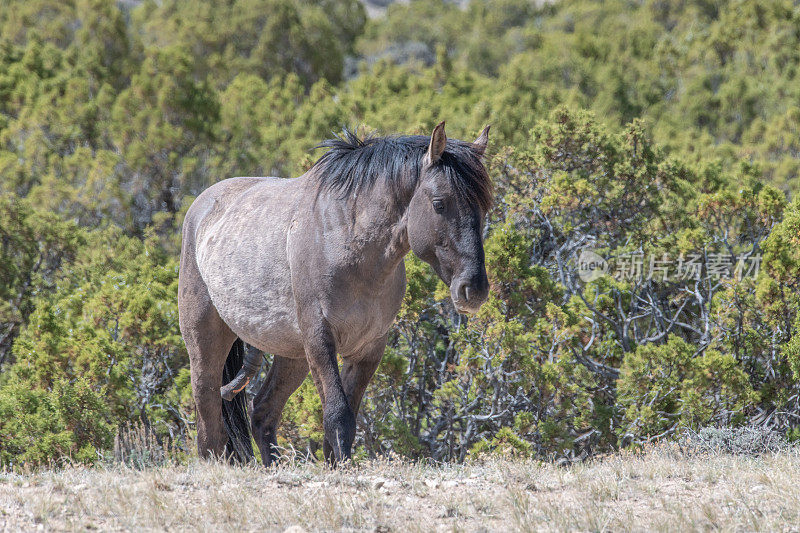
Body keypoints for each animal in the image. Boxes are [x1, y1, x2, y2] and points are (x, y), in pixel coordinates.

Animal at [180, 121, 494, 462]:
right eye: (439, 204)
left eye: (485, 206)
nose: (474, 289)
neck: (347, 242)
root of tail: (200, 208)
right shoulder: (320, 339)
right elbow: (337, 415)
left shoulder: (369, 349)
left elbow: (346, 419)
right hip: (206, 340)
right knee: (209, 419)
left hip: (292, 355)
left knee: (262, 412)